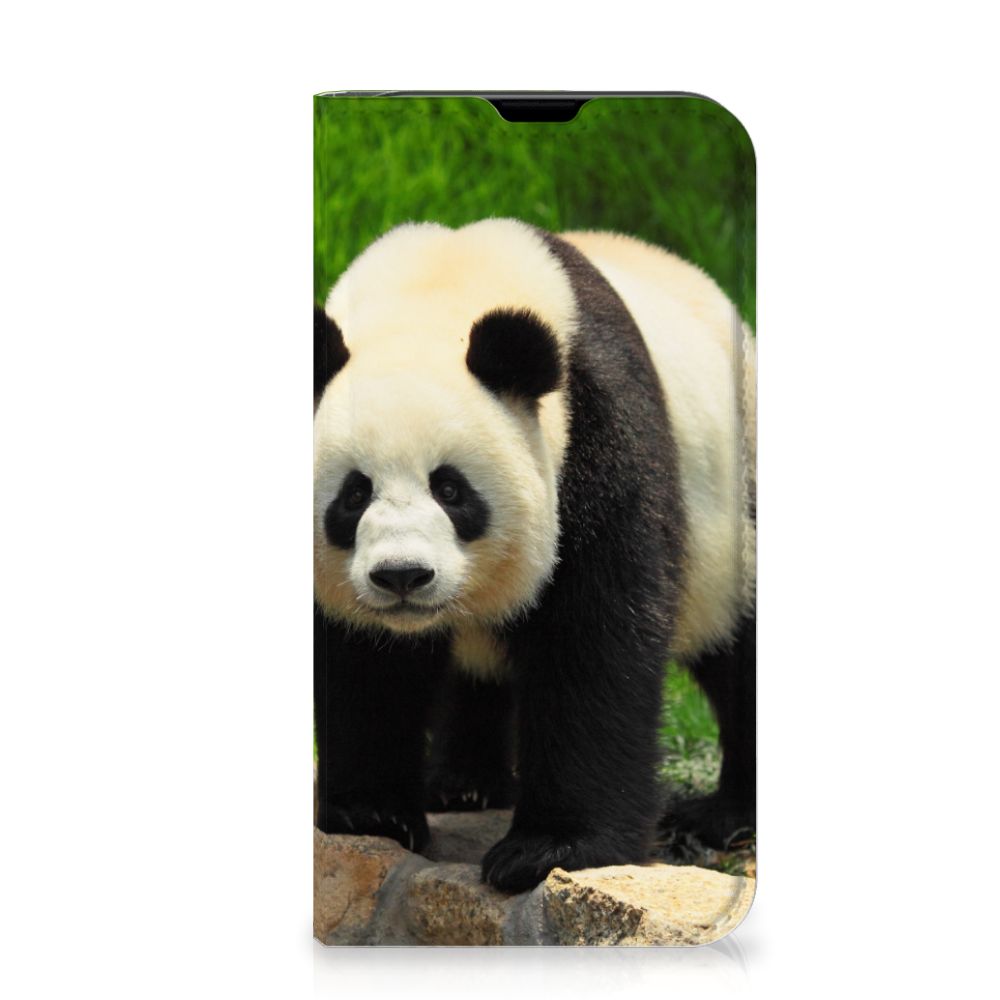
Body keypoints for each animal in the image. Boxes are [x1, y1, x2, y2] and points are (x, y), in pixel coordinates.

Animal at [314, 218, 756, 894]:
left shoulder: (595, 432)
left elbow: (594, 638)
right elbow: (361, 659)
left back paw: (721, 816)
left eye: (451, 489)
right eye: (354, 494)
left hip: (738, 503)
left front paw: (549, 849)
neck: (435, 292)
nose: (403, 577)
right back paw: (464, 783)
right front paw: (372, 813)